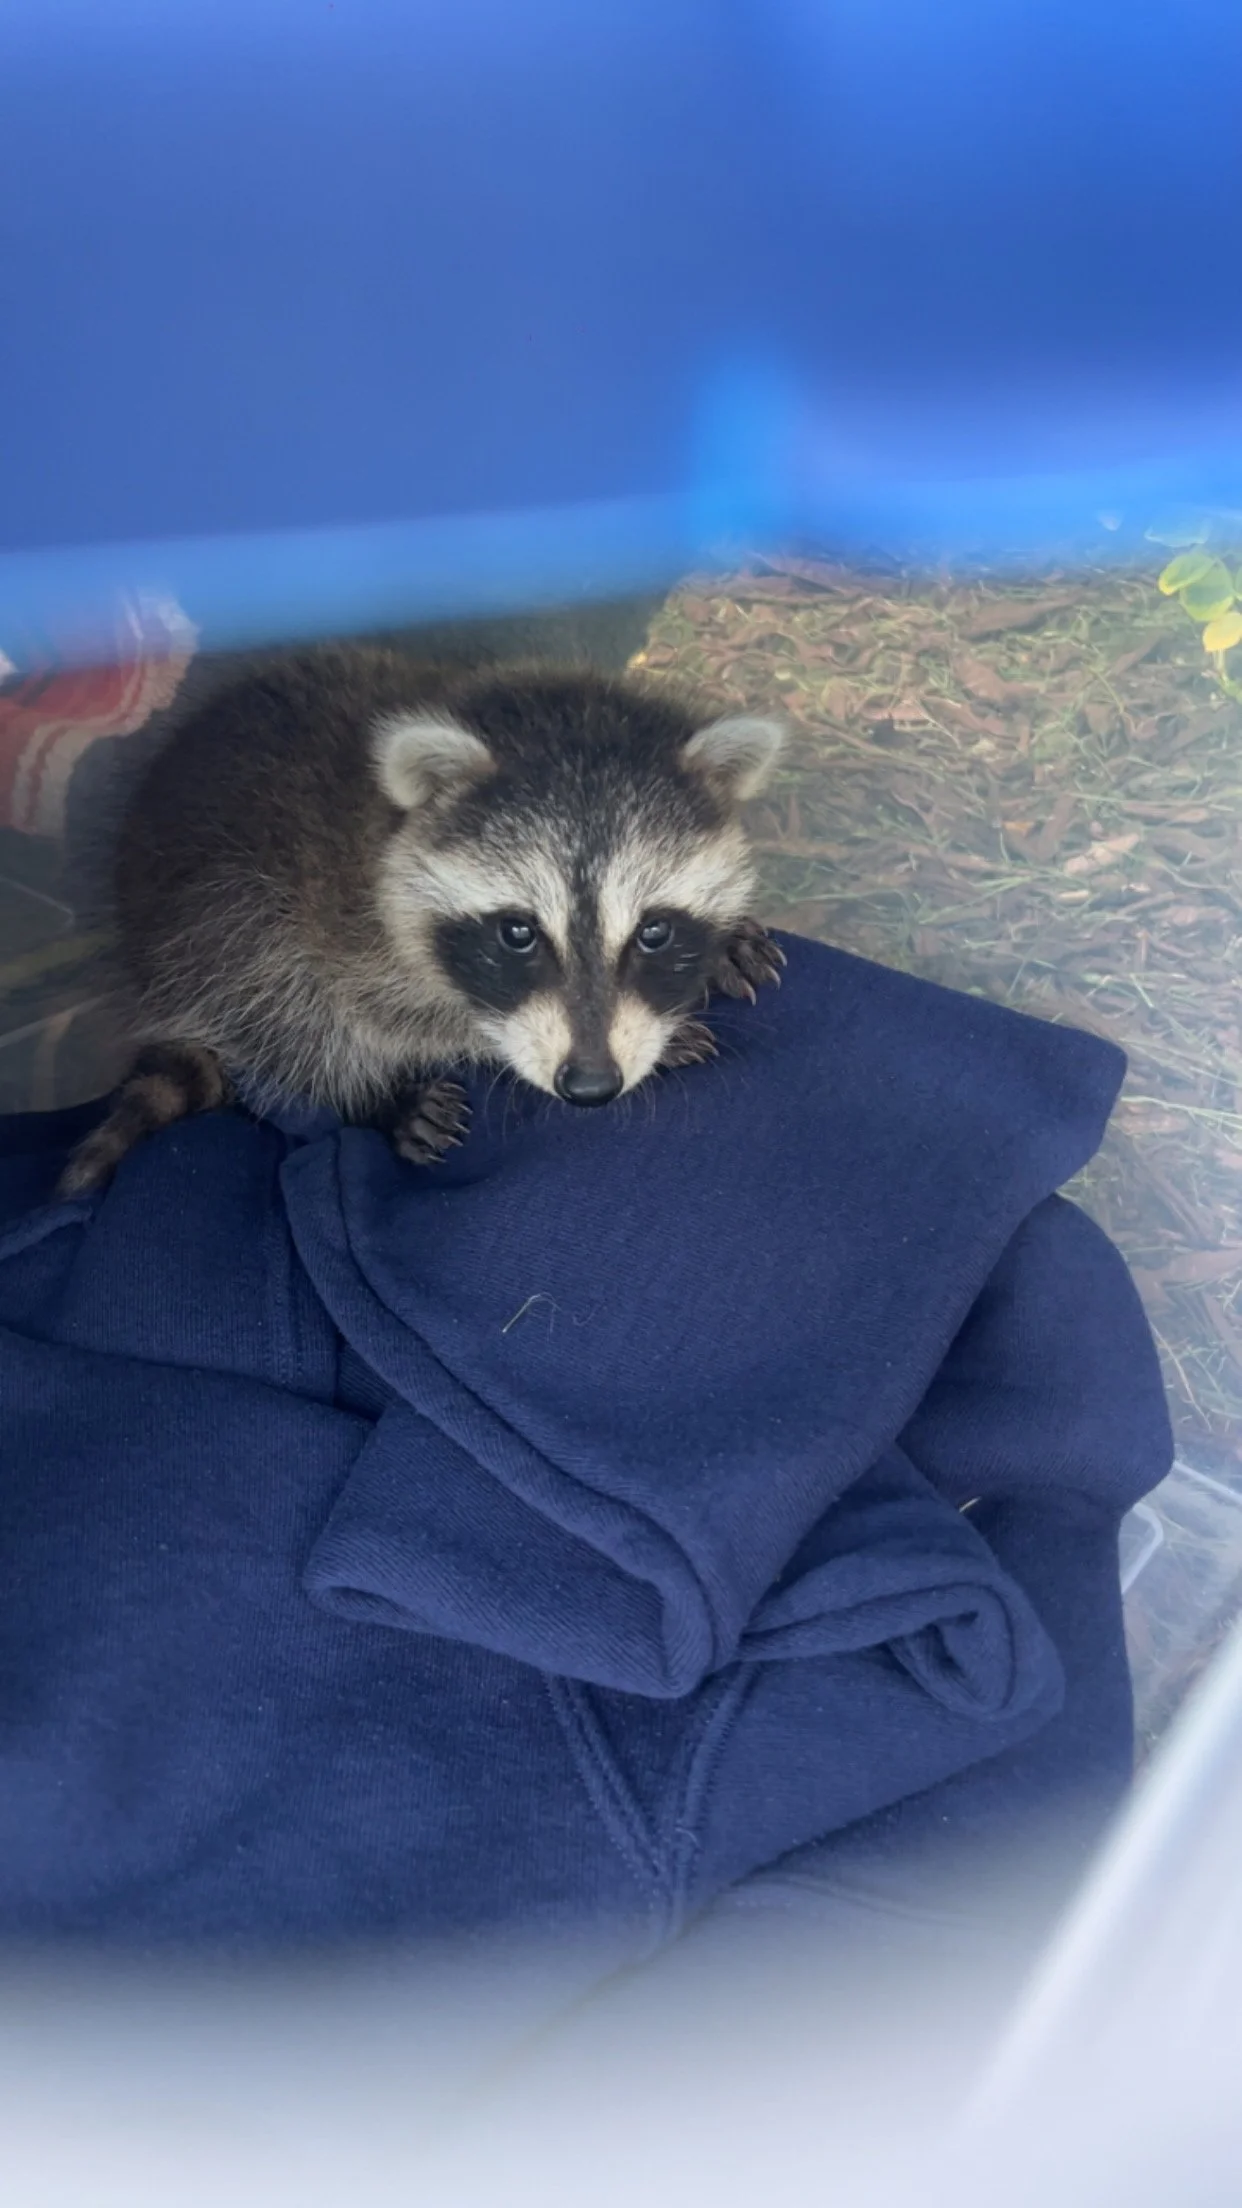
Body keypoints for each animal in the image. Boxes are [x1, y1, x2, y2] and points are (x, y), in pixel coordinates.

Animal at [58, 648, 786, 1196]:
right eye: (517, 933)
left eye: (654, 931)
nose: (589, 1086)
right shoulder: (338, 927)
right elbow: (390, 1018)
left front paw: (718, 951)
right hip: (217, 916)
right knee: (283, 1016)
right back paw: (371, 1098)